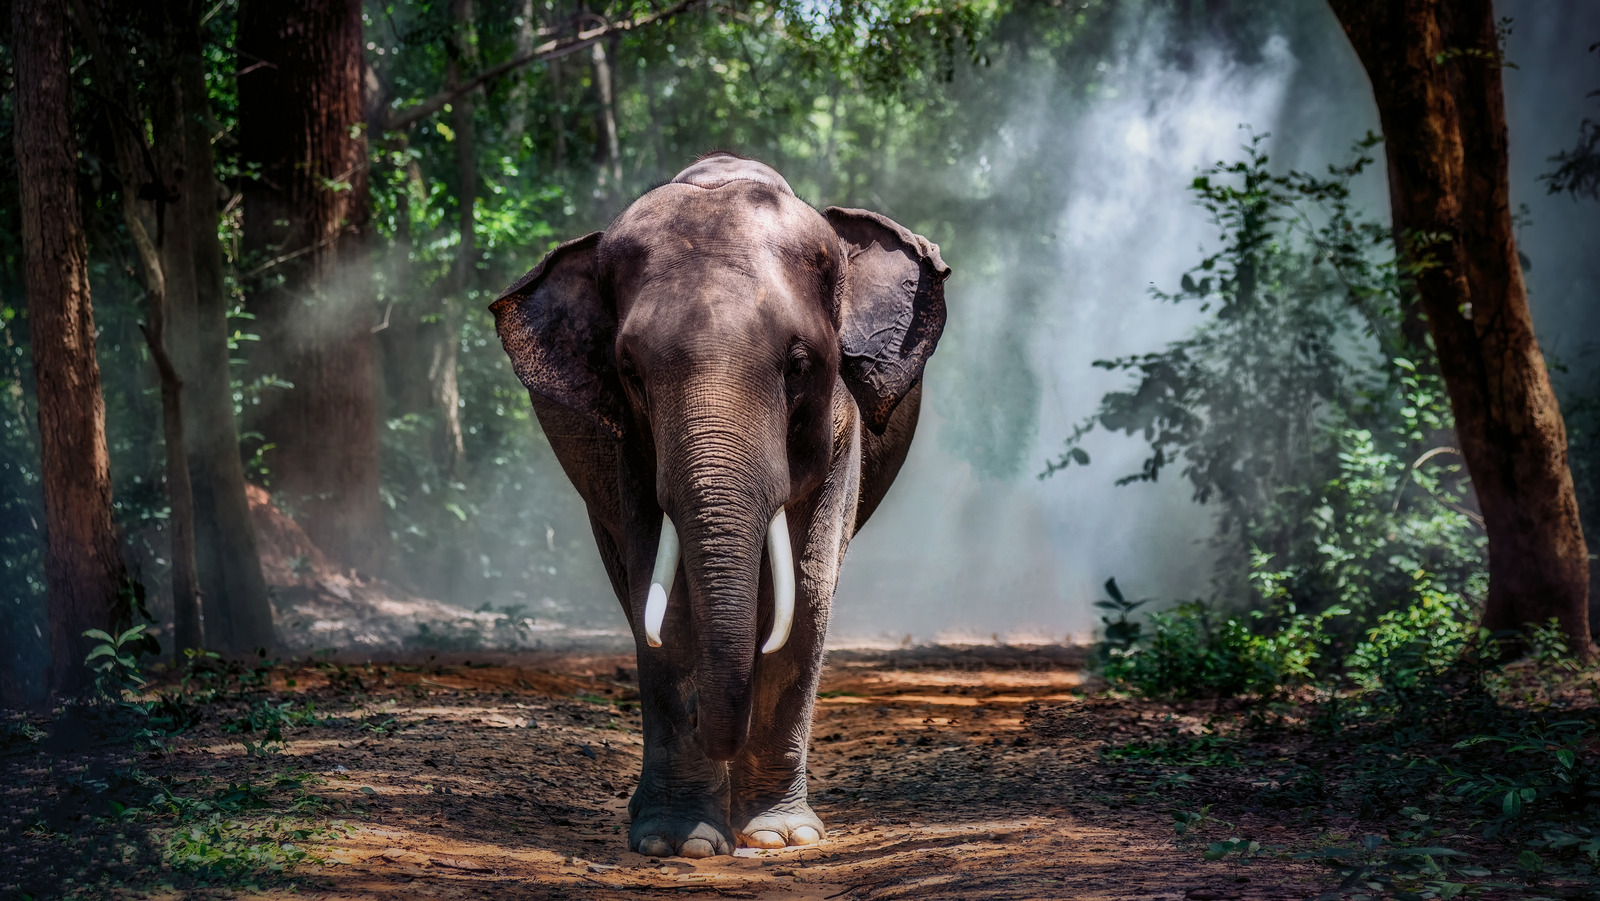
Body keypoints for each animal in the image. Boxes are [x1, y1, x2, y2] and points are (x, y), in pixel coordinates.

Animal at [490, 152, 948, 858]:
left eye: (798, 364)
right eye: (630, 371)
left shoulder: (840, 428)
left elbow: (807, 593)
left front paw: (781, 837)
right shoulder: (629, 448)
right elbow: (666, 603)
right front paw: (679, 843)